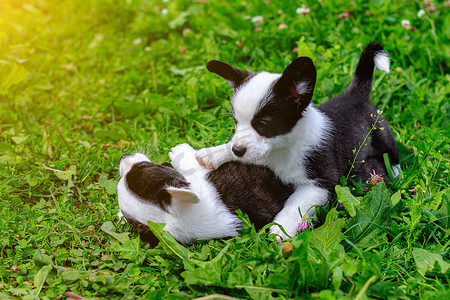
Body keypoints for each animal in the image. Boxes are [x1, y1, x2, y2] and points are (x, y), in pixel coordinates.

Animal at [195, 42, 400, 239]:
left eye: (263, 125)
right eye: (236, 121)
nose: (237, 150)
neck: (281, 148)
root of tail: (355, 94)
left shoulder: (320, 182)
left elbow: (297, 204)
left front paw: (282, 228)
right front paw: (212, 154)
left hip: (382, 134)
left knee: (391, 152)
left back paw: (396, 173)